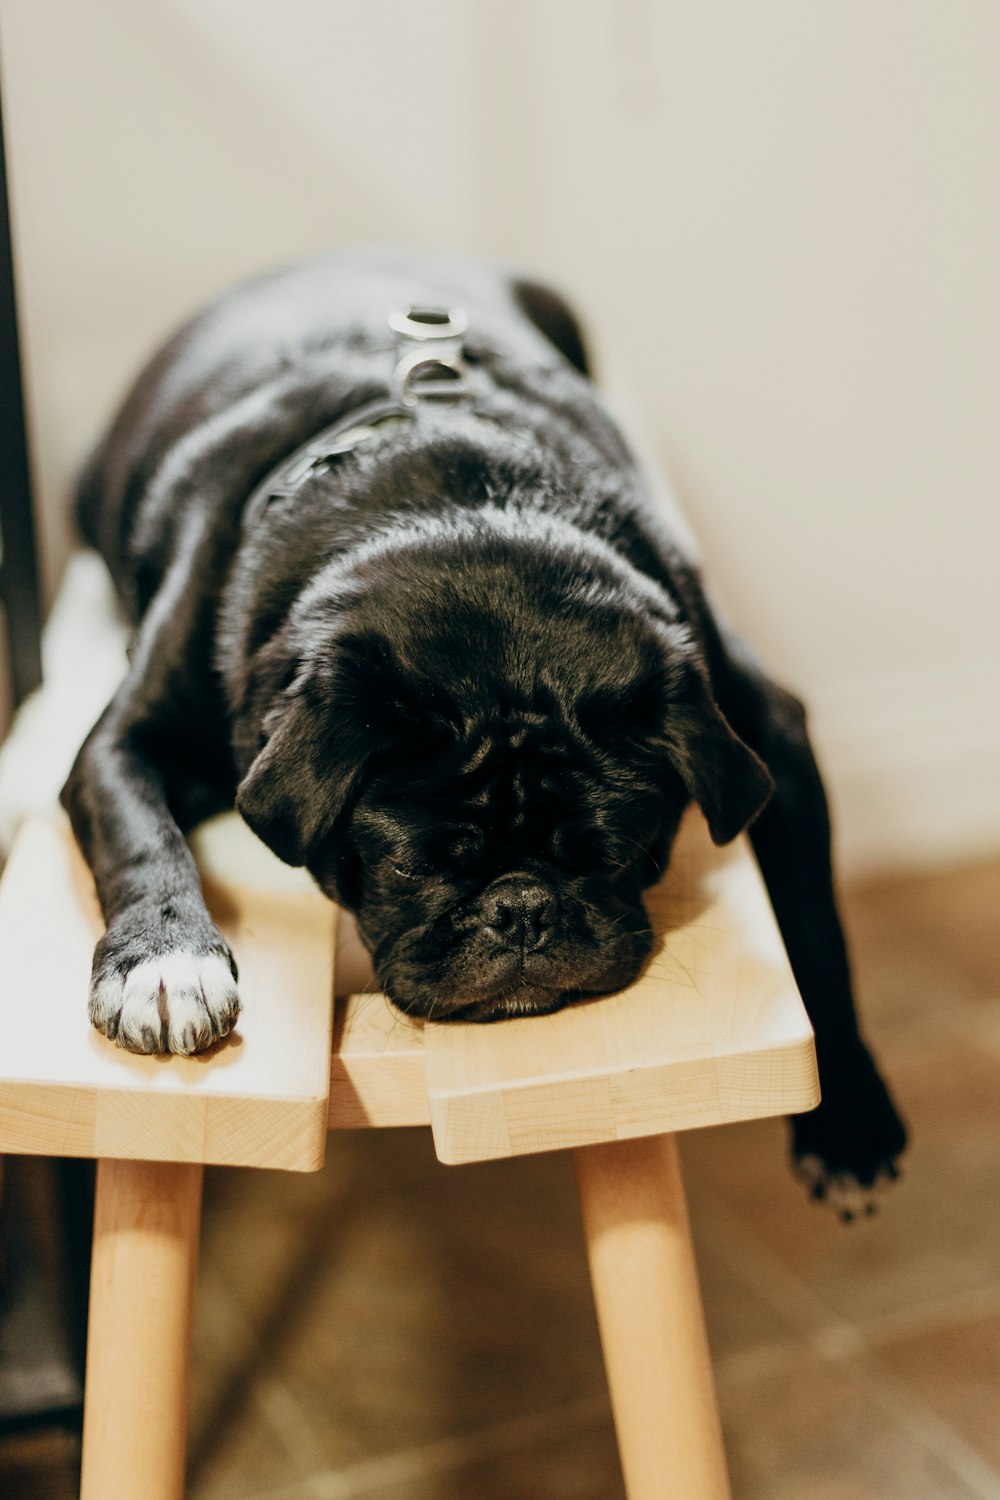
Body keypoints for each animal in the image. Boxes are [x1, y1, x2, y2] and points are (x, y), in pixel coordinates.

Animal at [62, 246, 905, 1206]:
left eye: (617, 854)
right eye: (415, 866)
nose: (523, 909)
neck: (459, 503)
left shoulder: (766, 731)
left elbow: (817, 933)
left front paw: (849, 1117)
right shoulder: (120, 745)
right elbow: (143, 841)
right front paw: (167, 961)